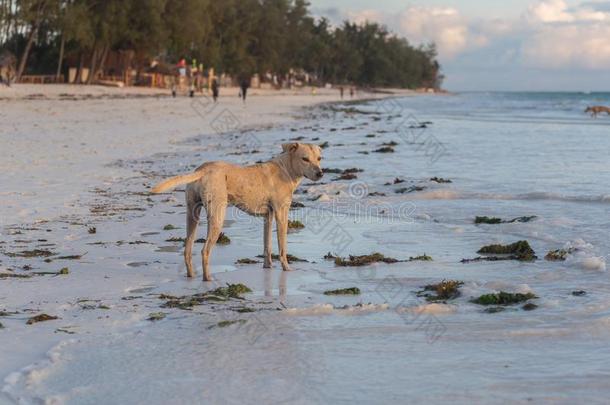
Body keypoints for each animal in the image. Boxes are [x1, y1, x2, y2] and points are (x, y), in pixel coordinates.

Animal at [151, 143, 324, 280]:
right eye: (305, 159)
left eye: (319, 158)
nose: (320, 173)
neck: (286, 168)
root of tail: (203, 170)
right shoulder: (282, 214)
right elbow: (282, 246)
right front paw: (286, 268)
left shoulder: (268, 216)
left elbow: (267, 245)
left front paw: (268, 266)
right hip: (217, 217)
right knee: (205, 251)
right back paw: (208, 278)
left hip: (192, 215)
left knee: (187, 249)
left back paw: (191, 275)